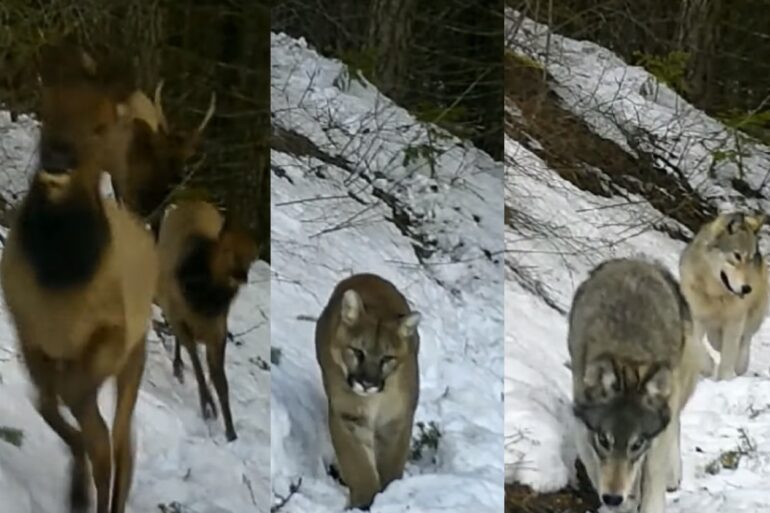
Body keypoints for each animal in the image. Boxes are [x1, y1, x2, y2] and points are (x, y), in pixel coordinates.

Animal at [0, 43, 158, 513]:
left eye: (100, 125)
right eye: (48, 108)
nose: (56, 160)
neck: (59, 279)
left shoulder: (112, 334)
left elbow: (92, 424)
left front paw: (85, 489)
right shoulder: (27, 329)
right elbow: (48, 407)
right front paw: (77, 491)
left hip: (135, 356)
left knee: (122, 441)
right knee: (111, 437)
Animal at [568, 258, 700, 513]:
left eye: (637, 443)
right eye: (604, 440)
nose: (612, 497)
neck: (628, 356)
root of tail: (637, 261)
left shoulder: (656, 439)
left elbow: (653, 480)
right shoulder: (582, 419)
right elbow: (594, 466)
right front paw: (621, 503)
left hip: (682, 382)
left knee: (675, 422)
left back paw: (673, 475)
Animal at [679, 212, 769, 381]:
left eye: (750, 259)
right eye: (737, 256)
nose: (747, 289)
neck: (715, 294)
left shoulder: (735, 321)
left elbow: (729, 355)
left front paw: (726, 379)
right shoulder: (695, 317)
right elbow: (697, 345)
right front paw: (707, 366)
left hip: (752, 316)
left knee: (745, 340)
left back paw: (740, 364)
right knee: (715, 340)